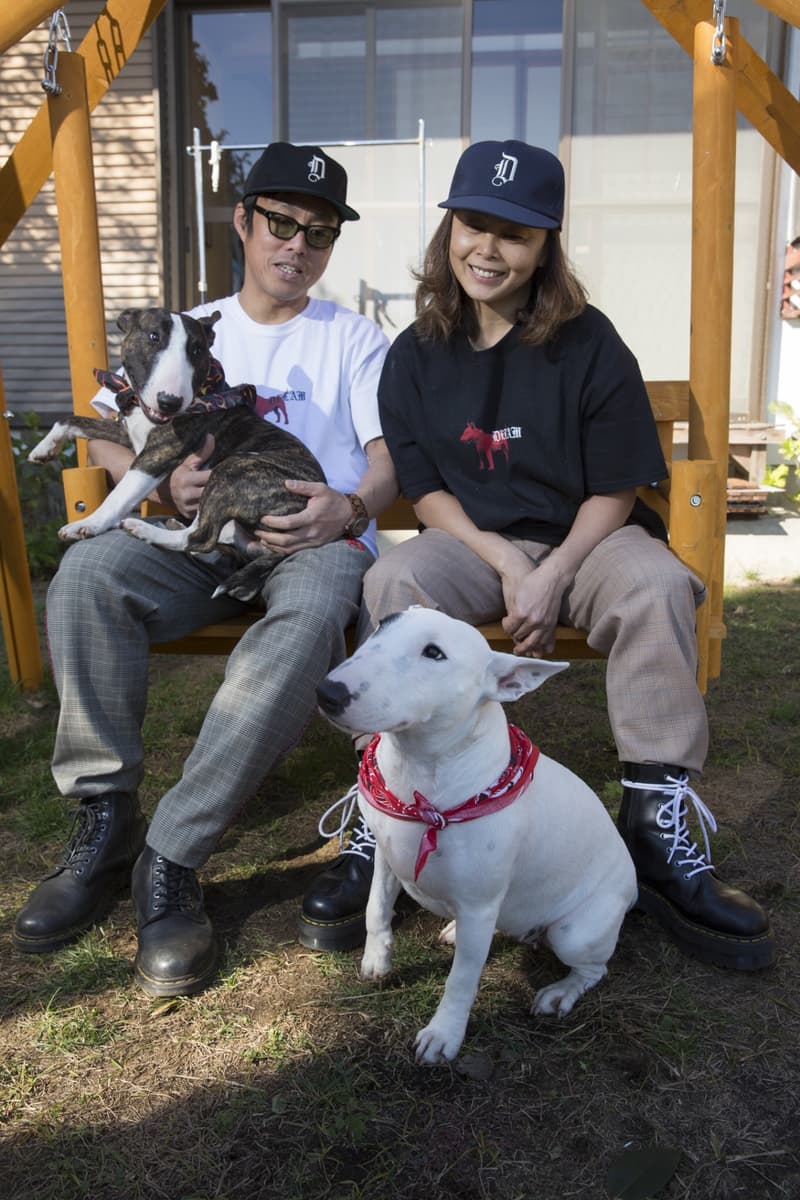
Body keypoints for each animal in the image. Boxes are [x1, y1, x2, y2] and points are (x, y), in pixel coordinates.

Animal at [316, 609, 633, 1070]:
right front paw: (376, 961)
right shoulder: (387, 857)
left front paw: (442, 1036)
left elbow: (461, 979)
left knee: (594, 970)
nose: (327, 692)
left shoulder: (480, 904)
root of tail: (634, 887)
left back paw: (559, 994)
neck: (420, 772)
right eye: (384, 623)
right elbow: (376, 908)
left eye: (434, 653)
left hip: (575, 931)